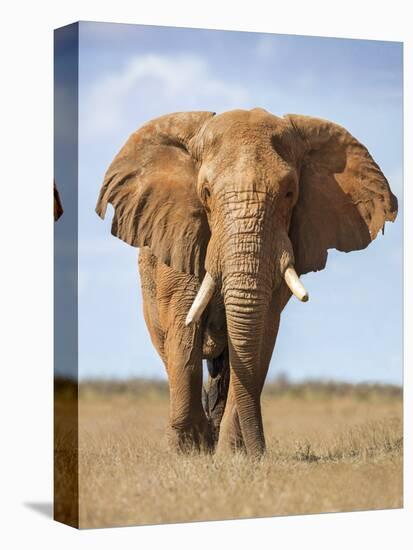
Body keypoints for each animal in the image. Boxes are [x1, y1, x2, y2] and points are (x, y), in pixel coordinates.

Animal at [95, 108, 398, 458]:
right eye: (205, 193)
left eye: (290, 193)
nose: (262, 451)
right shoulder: (181, 236)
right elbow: (183, 330)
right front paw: (190, 451)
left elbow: (261, 335)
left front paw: (231, 455)